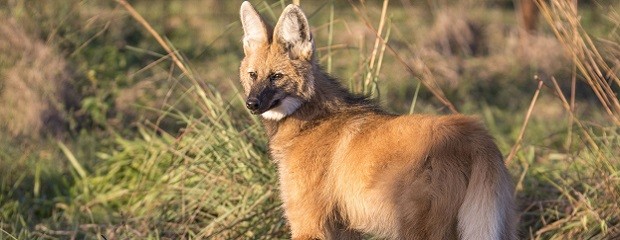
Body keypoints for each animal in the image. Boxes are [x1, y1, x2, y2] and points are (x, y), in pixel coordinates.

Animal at [237, 2, 512, 240]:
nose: (252, 104)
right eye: (253, 75)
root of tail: (477, 135)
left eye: (276, 76)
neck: (310, 121)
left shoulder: (310, 224)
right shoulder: (345, 228)